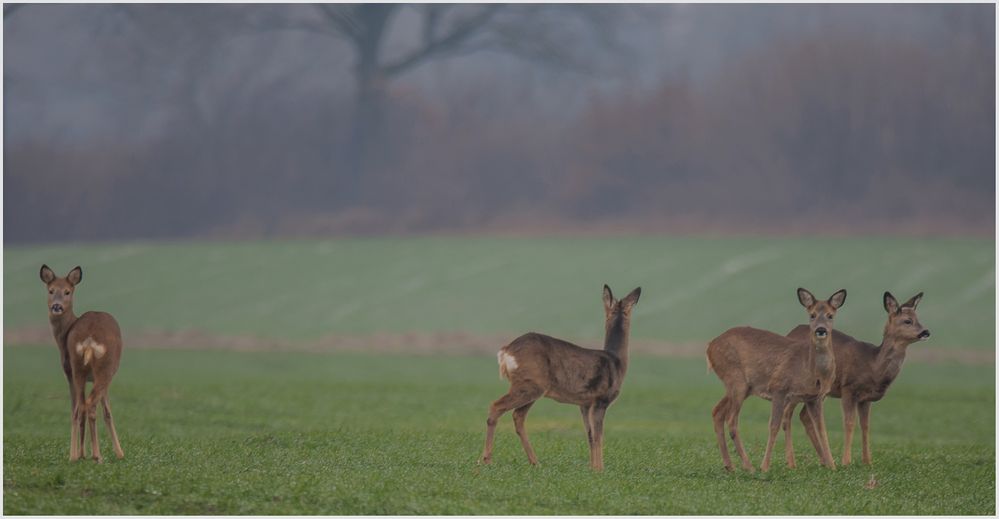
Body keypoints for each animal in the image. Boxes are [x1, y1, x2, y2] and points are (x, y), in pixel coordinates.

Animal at [39, 266, 124, 462]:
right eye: (51, 290)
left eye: (67, 291)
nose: (56, 306)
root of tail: (89, 340)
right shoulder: (98, 377)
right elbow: (107, 412)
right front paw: (119, 453)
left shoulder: (71, 373)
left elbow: (85, 410)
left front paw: (81, 453)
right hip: (104, 369)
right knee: (89, 406)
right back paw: (97, 456)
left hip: (78, 368)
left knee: (78, 409)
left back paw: (74, 456)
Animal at [480, 284, 644, 472]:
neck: (615, 360)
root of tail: (506, 351)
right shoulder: (601, 400)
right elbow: (598, 436)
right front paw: (599, 469)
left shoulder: (584, 404)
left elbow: (589, 435)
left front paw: (592, 468)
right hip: (530, 385)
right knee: (497, 406)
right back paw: (486, 460)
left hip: (530, 387)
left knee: (518, 417)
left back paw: (535, 462)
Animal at [708, 288, 848, 476]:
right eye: (811, 315)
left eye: (830, 315)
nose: (820, 330)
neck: (809, 370)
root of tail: (710, 346)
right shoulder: (779, 388)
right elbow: (773, 425)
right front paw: (765, 466)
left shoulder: (815, 398)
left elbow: (822, 429)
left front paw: (832, 466)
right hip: (736, 380)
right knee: (731, 420)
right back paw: (749, 466)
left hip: (741, 387)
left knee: (717, 412)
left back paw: (730, 466)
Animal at [784, 292, 932, 468]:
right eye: (907, 320)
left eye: (918, 318)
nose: (926, 332)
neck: (873, 365)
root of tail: (789, 333)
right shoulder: (848, 388)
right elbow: (849, 423)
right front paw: (846, 461)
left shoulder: (865, 398)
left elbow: (865, 426)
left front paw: (867, 461)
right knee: (789, 414)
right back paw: (795, 462)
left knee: (804, 416)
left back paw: (824, 460)